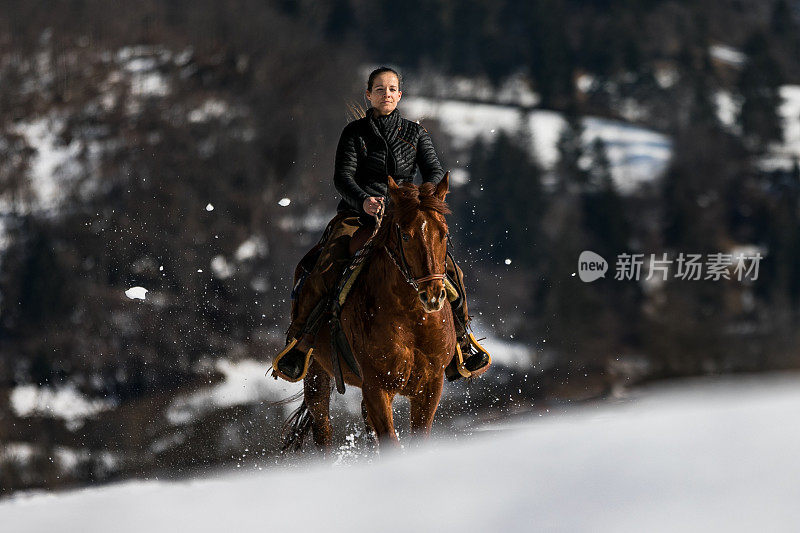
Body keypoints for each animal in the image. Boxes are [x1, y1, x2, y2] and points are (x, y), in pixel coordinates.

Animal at [284, 175, 454, 448]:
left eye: (444, 233)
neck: (412, 318)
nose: (433, 296)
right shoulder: (377, 386)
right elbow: (390, 440)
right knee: (323, 429)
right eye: (405, 235)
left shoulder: (430, 385)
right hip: (315, 372)